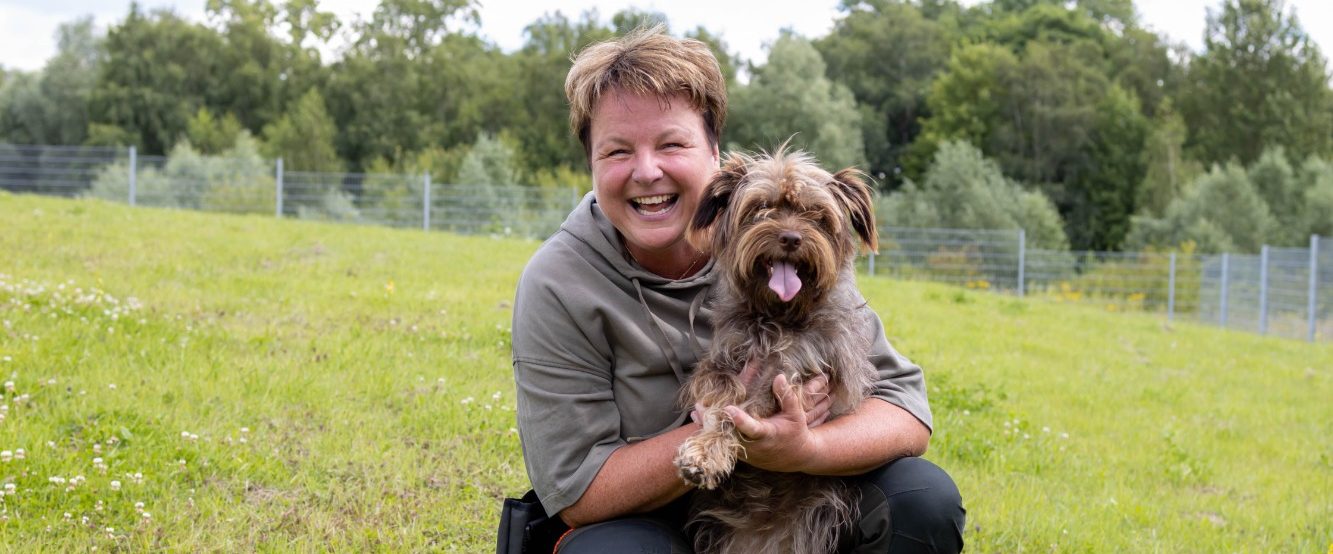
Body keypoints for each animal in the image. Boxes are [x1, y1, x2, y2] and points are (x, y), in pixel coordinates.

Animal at [674, 147, 880, 554]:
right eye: (761, 207)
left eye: (816, 214)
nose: (790, 237)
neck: (778, 316)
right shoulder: (721, 362)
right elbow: (722, 398)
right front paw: (705, 448)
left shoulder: (793, 373)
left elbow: (741, 410)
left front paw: (707, 453)